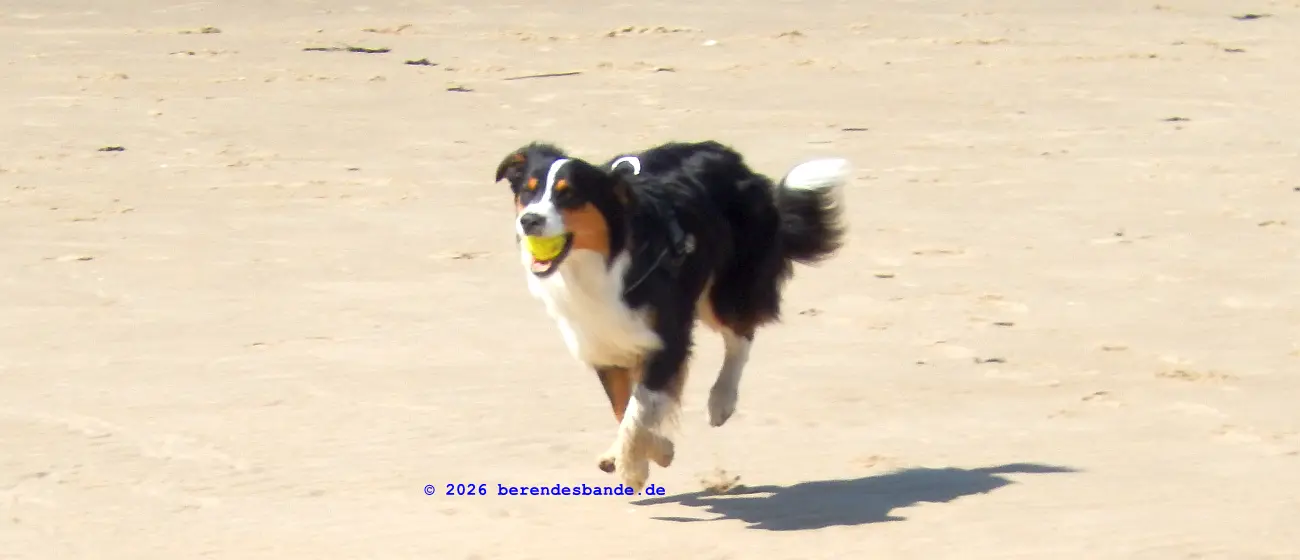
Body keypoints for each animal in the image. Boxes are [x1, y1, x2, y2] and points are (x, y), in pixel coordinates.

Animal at [493, 140, 848, 492]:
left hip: (725, 289)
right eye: (527, 192)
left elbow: (639, 407)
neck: (601, 263)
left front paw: (635, 467)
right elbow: (624, 406)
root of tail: (734, 160)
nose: (529, 220)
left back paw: (721, 400)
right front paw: (650, 451)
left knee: (740, 336)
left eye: (568, 195)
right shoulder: (604, 340)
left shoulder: (667, 337)